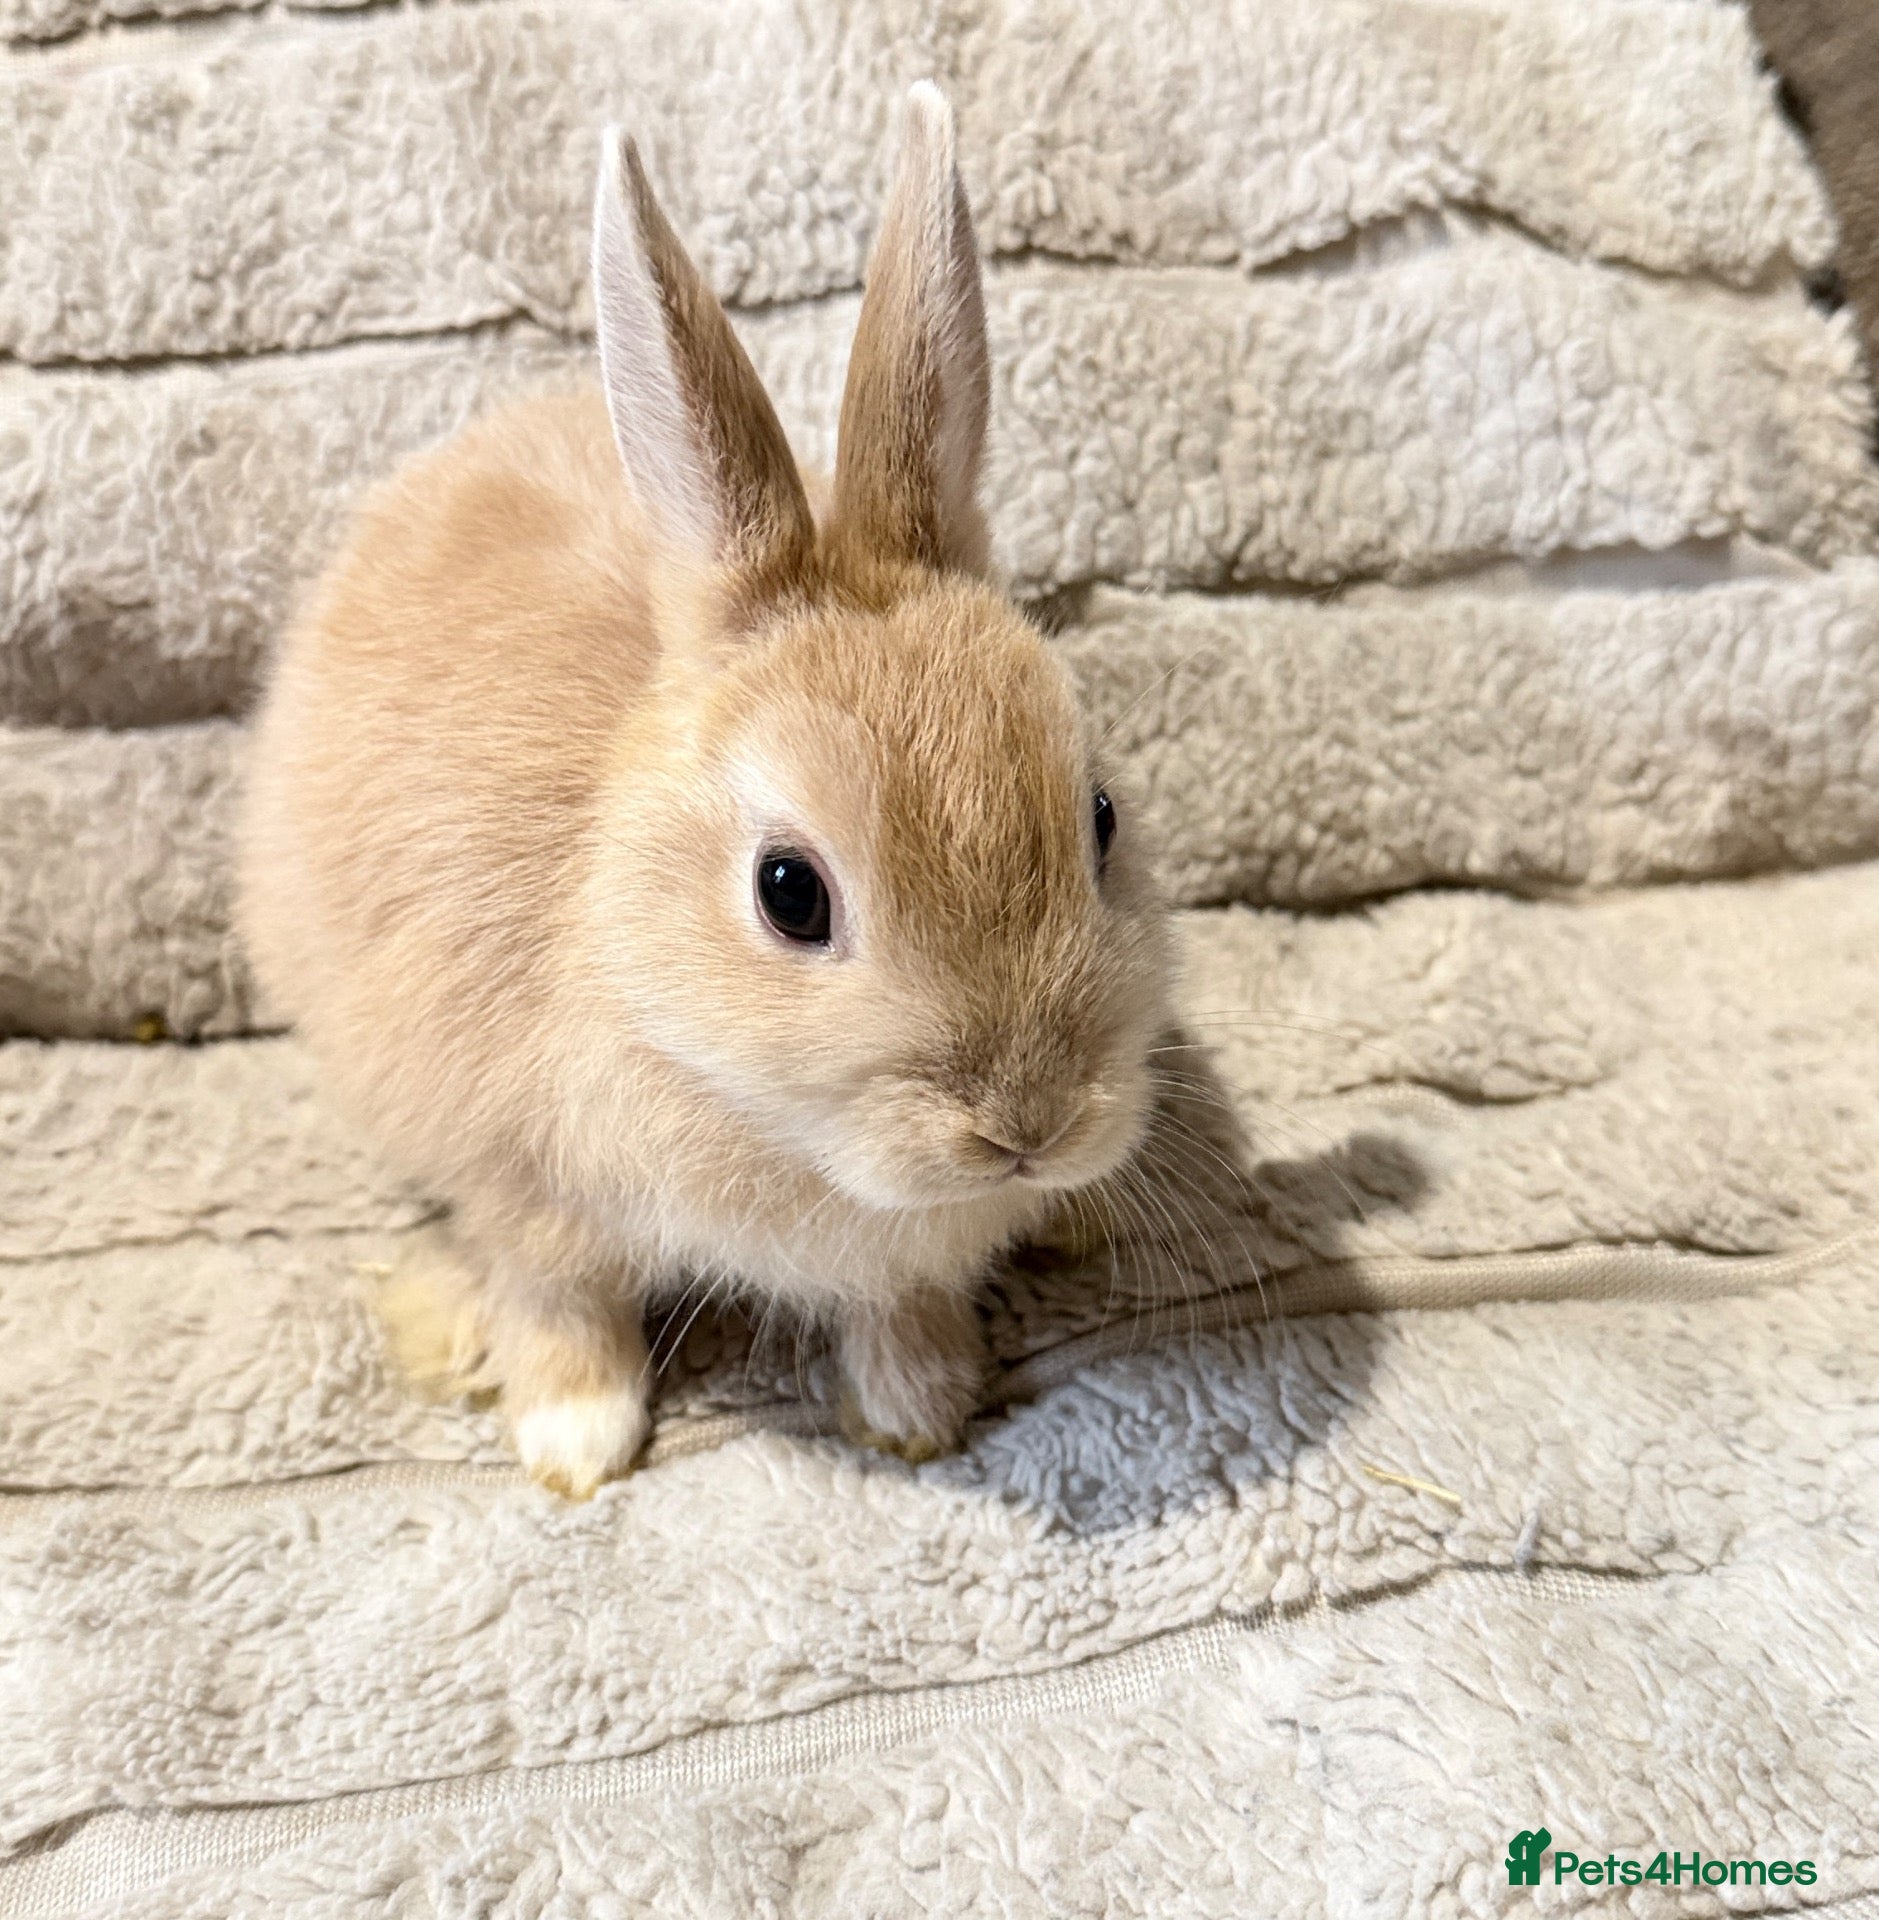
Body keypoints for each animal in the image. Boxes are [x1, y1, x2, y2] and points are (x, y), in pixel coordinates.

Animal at [240, 83, 1173, 1499]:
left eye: (1103, 821)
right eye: (789, 894)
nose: (1024, 1126)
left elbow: (896, 1303)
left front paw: (918, 1408)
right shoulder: (521, 1178)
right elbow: (562, 1300)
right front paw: (575, 1445)